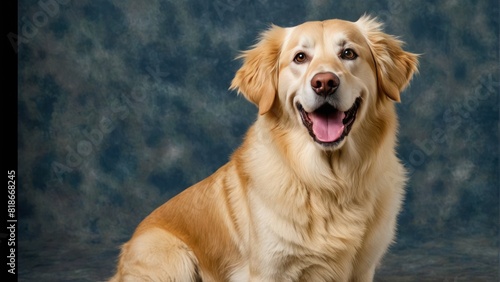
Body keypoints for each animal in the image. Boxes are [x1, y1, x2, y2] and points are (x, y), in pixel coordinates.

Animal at [109, 16, 418, 282]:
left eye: (348, 53)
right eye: (300, 57)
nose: (324, 83)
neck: (329, 182)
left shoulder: (362, 267)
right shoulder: (270, 269)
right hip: (173, 256)